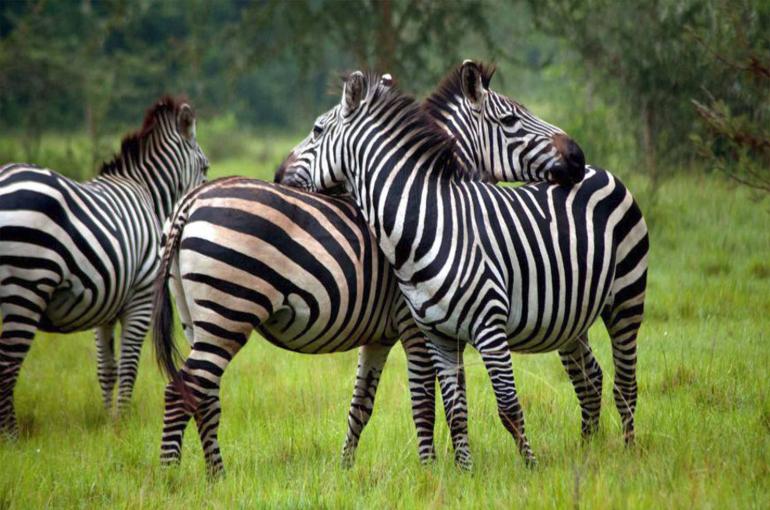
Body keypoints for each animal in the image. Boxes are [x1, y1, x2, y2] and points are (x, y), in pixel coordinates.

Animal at [0, 96, 208, 438]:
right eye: (205, 167)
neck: (147, 194)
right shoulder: (140, 298)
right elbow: (129, 366)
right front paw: (122, 421)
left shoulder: (107, 302)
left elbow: (107, 369)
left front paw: (110, 422)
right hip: (26, 288)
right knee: (7, 367)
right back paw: (12, 437)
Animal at [280, 69, 644, 468]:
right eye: (510, 120)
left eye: (317, 130)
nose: (577, 157)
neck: (430, 217)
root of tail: (602, 172)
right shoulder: (429, 332)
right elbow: (442, 404)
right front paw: (453, 468)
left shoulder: (459, 328)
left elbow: (460, 403)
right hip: (572, 316)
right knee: (590, 377)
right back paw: (589, 449)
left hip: (622, 300)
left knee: (620, 382)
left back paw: (621, 451)